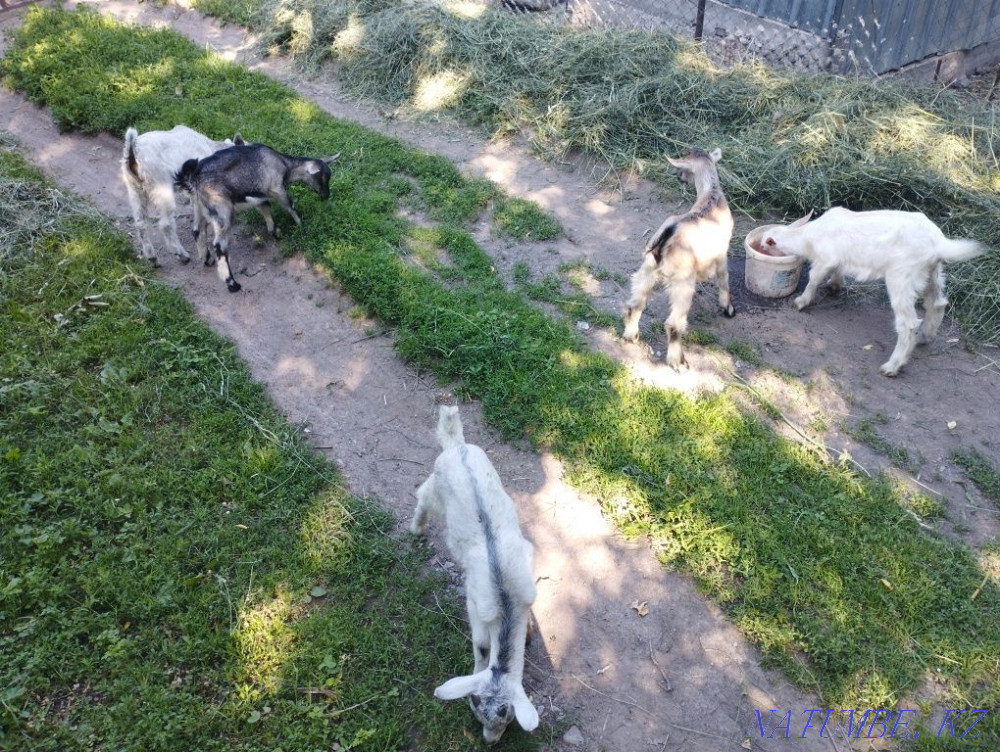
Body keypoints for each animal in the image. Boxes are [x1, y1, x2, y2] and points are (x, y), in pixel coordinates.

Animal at [120, 125, 243, 267]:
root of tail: (133, 150)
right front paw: (206, 255)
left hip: (135, 190)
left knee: (141, 223)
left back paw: (152, 257)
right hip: (161, 187)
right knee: (166, 224)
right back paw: (182, 255)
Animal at [174, 144, 339, 293]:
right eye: (321, 177)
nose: (326, 195)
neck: (283, 163)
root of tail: (193, 180)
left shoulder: (261, 192)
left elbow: (265, 206)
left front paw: (275, 231)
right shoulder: (277, 188)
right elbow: (290, 206)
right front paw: (301, 227)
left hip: (199, 207)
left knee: (197, 230)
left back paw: (207, 259)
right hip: (221, 208)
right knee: (219, 245)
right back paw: (232, 283)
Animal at [410, 406, 539, 744]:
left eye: (507, 718)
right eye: (476, 709)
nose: (489, 741)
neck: (508, 602)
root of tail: (457, 446)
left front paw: (530, 631)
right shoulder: (475, 603)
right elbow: (481, 644)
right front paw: (479, 663)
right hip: (435, 486)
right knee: (421, 497)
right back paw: (416, 527)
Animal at [622, 148, 736, 368]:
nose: (679, 177)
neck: (712, 196)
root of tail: (665, 237)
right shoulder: (721, 253)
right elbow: (724, 280)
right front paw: (728, 308)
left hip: (647, 268)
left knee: (635, 304)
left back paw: (632, 336)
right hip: (682, 282)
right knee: (674, 323)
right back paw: (679, 362)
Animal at [761, 207, 986, 375]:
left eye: (764, 245)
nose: (759, 247)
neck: (807, 236)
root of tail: (939, 243)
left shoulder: (826, 258)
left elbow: (813, 279)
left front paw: (800, 302)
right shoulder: (838, 259)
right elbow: (838, 271)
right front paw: (834, 285)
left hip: (901, 276)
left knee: (908, 322)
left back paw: (893, 366)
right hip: (932, 272)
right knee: (937, 303)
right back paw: (924, 337)